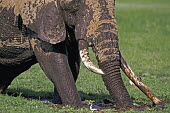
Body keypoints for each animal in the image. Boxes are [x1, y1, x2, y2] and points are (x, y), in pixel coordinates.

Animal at [0, 0, 161, 109]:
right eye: (75, 3)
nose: (129, 107)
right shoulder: (37, 16)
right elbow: (52, 60)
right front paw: (77, 106)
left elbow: (73, 62)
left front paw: (60, 103)